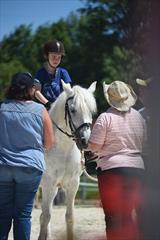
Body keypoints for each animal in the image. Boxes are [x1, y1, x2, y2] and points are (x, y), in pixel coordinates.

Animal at [38, 81, 97, 240]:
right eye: (73, 110)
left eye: (91, 111)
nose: (85, 141)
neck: (62, 149)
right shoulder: (48, 183)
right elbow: (46, 217)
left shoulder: (72, 184)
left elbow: (69, 217)